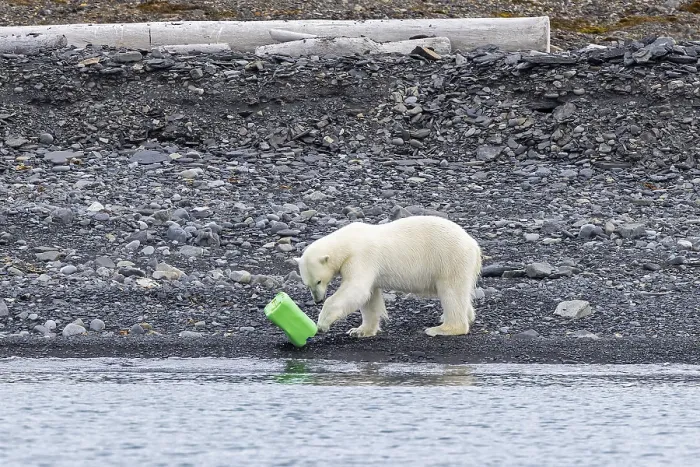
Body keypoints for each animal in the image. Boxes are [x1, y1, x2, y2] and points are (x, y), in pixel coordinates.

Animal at [294, 215, 482, 337]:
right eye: (307, 284)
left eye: (319, 281)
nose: (317, 300)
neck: (347, 242)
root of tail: (474, 245)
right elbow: (369, 297)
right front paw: (359, 331)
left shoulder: (360, 257)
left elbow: (356, 289)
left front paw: (322, 324)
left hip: (449, 259)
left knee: (451, 292)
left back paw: (441, 329)